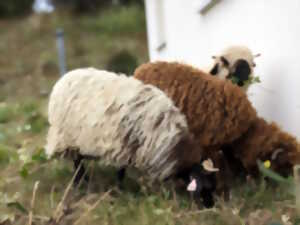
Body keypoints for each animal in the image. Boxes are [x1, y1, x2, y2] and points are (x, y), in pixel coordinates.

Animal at [45, 68, 217, 207]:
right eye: (205, 187)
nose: (211, 206)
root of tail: (64, 78)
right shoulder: (123, 147)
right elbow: (120, 173)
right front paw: (119, 191)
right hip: (66, 137)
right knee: (77, 163)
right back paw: (81, 183)